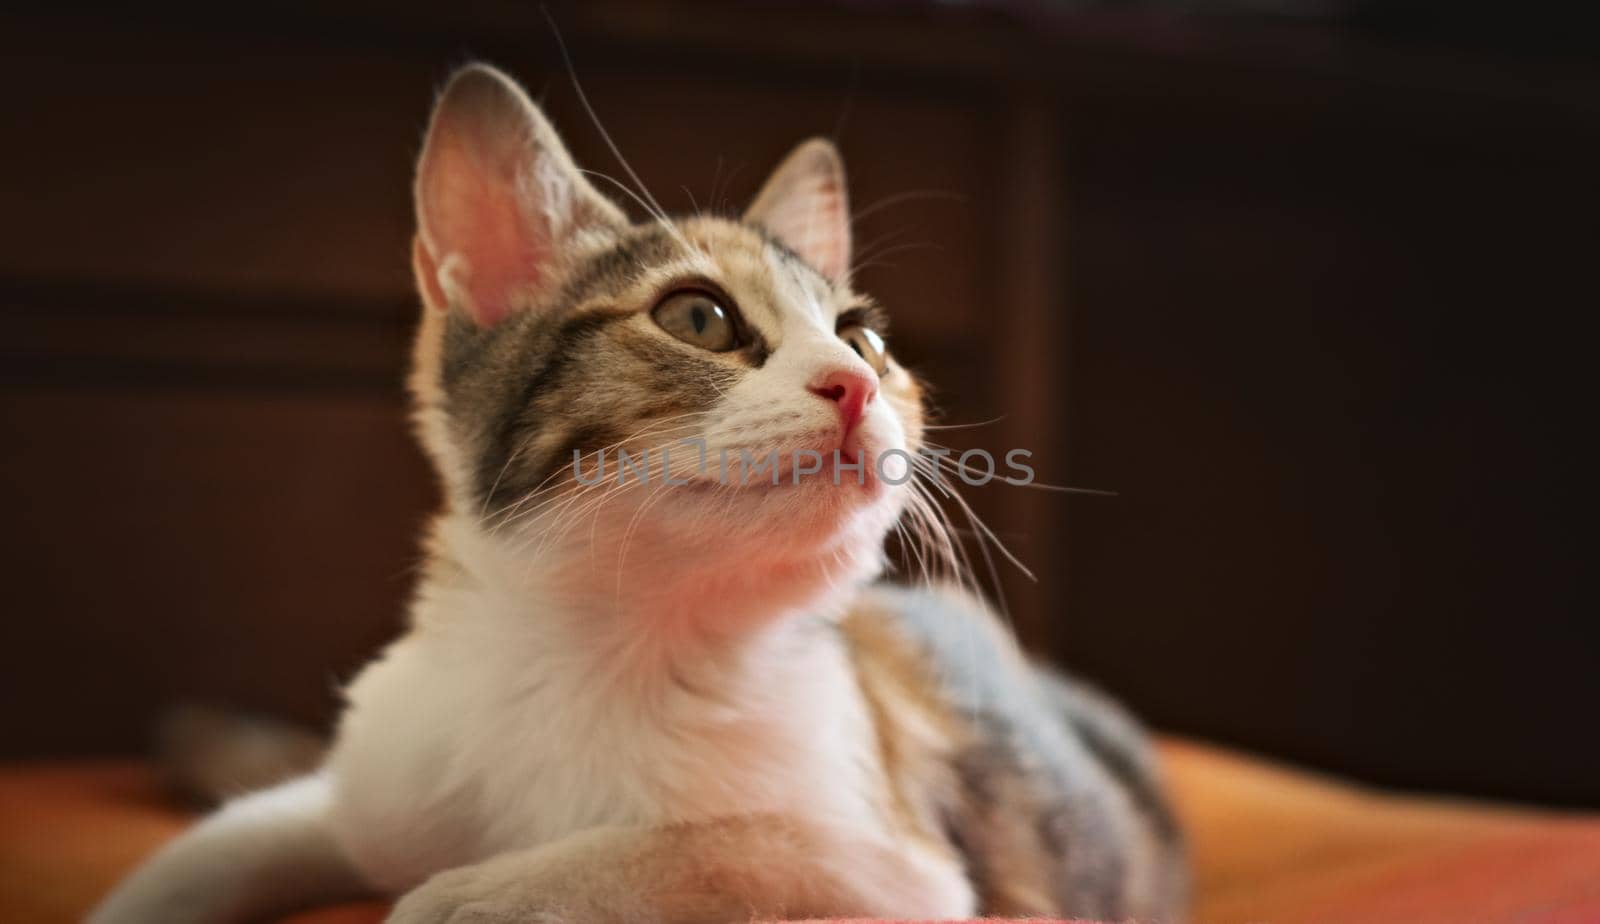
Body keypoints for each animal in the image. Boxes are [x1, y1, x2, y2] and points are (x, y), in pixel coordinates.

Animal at [90, 64, 1190, 920]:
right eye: (699, 318)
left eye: (865, 338)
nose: (859, 382)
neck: (598, 652)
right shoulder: (378, 777)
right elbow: (238, 834)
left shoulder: (906, 869)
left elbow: (716, 845)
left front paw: (474, 895)